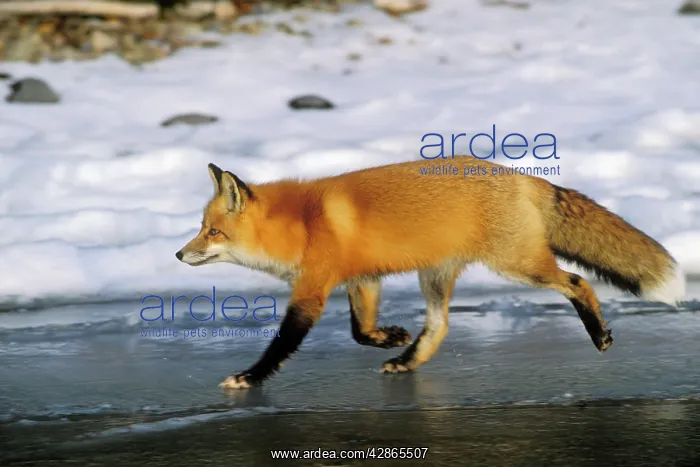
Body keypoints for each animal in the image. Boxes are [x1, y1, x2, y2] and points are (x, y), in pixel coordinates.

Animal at [176, 158, 685, 389]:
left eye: (213, 231)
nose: (180, 255)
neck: (301, 225)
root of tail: (520, 176)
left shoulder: (314, 290)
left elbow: (282, 343)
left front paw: (250, 377)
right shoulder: (363, 279)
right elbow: (360, 331)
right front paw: (391, 337)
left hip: (517, 265)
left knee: (578, 283)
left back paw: (599, 334)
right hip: (436, 276)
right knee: (440, 326)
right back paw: (407, 360)